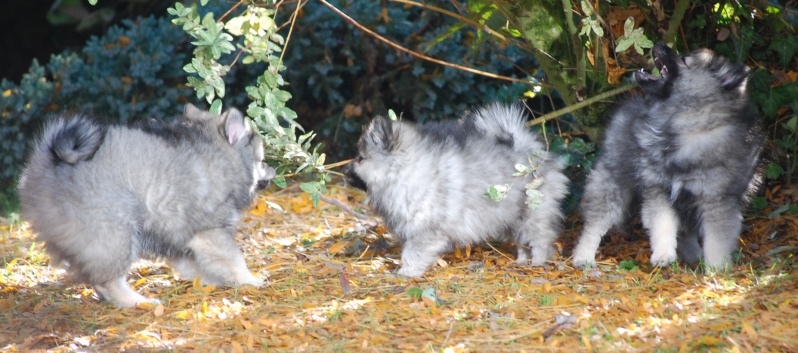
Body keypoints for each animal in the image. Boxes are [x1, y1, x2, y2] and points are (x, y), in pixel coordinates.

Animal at [18, 103, 278, 306]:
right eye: (262, 160)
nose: (274, 170)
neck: (222, 159)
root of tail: (49, 165)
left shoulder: (178, 237)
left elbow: (196, 266)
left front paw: (211, 281)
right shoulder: (210, 231)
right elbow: (235, 260)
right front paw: (251, 280)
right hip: (115, 235)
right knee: (109, 282)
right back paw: (139, 302)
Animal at [344, 103, 568, 276]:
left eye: (360, 158)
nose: (345, 170)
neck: (405, 171)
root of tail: (534, 153)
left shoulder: (426, 231)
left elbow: (412, 253)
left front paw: (406, 273)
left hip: (533, 214)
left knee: (540, 240)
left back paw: (537, 263)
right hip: (513, 218)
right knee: (523, 243)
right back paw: (521, 262)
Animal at [576, 42, 764, 268]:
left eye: (684, 59)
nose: (659, 44)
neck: (684, 125)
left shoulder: (716, 199)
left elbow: (716, 240)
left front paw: (716, 268)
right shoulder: (658, 190)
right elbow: (662, 225)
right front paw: (663, 254)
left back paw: (693, 256)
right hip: (613, 182)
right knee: (595, 224)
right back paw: (583, 256)